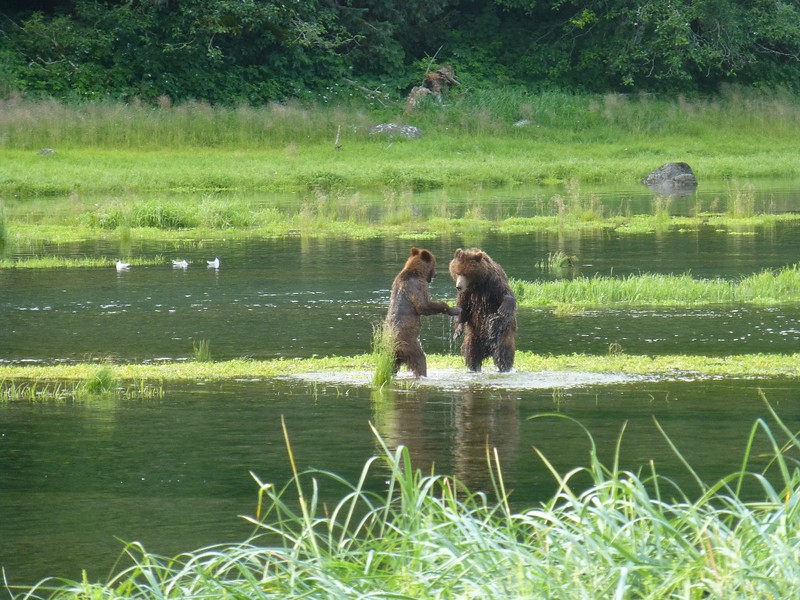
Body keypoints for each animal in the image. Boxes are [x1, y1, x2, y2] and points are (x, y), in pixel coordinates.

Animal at [384, 246, 460, 378]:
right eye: (434, 264)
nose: (436, 274)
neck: (417, 272)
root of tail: (396, 348)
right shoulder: (416, 285)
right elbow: (423, 305)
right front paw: (454, 309)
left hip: (391, 355)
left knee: (391, 366)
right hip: (410, 345)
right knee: (420, 360)